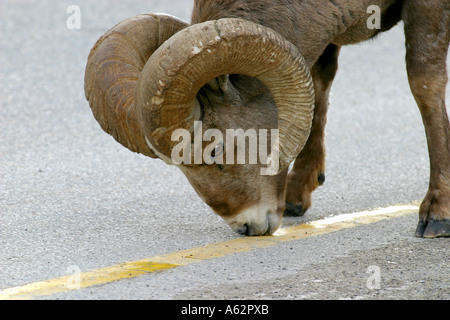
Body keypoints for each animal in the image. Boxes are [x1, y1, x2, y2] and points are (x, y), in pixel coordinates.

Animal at [83, 0, 446, 238]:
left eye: (215, 150)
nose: (247, 227)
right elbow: (318, 86)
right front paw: (297, 198)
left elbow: (425, 84)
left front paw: (437, 216)